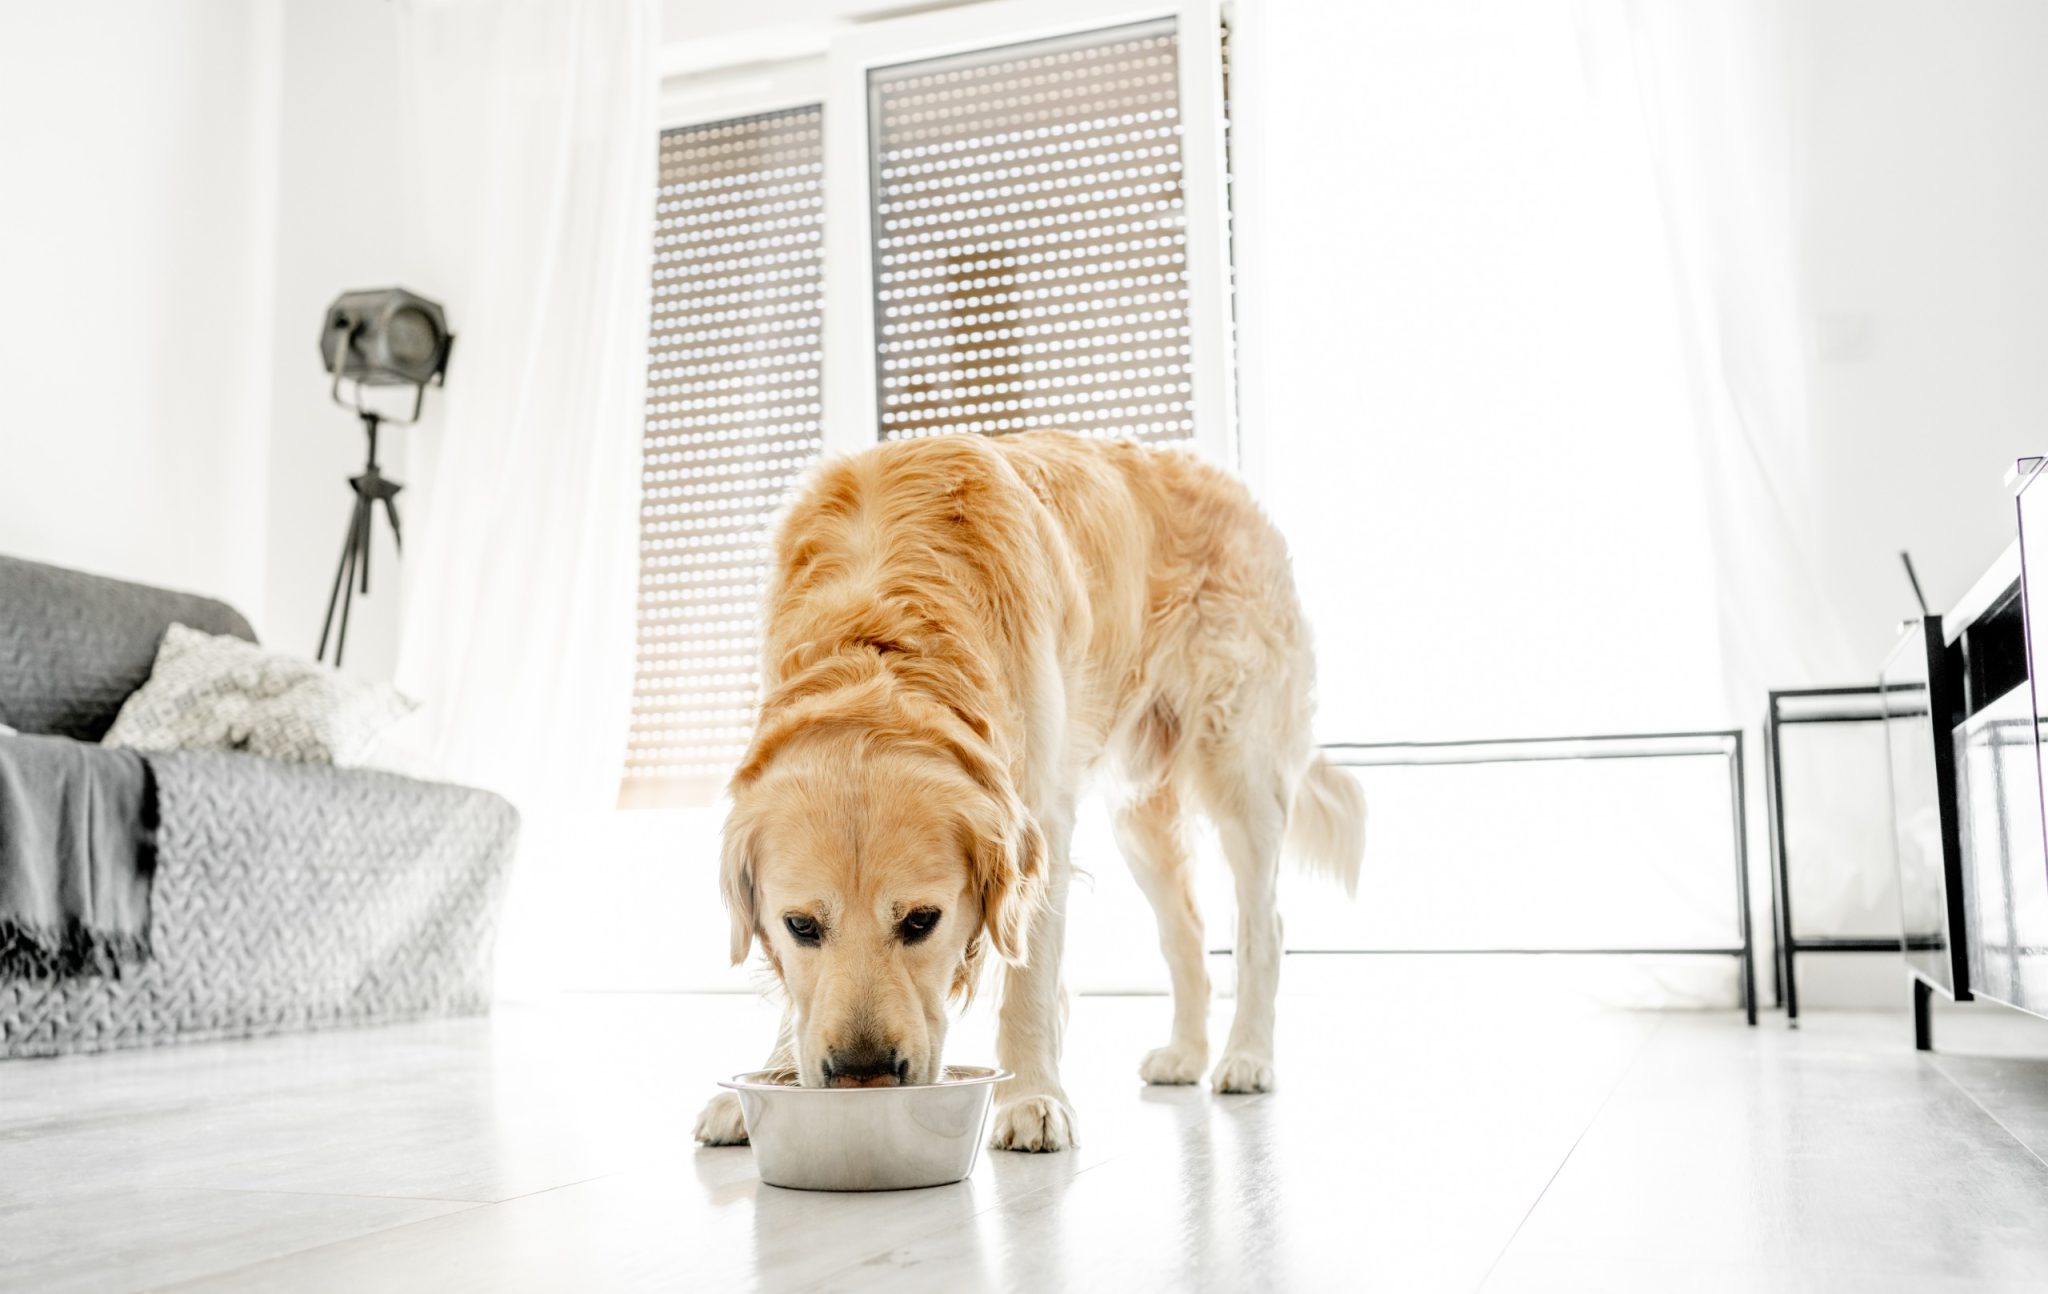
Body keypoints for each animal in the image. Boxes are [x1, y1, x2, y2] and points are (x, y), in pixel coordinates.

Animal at [688, 432, 1359, 1154]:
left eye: (922, 921)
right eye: (801, 926)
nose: (864, 1075)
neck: (880, 637)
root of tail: (1224, 480)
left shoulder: (1042, 820)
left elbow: (1030, 981)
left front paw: (1034, 1097)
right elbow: (798, 992)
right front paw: (767, 1079)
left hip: (1240, 766)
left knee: (1262, 925)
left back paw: (1248, 1056)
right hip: (1139, 816)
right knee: (1187, 931)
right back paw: (1185, 1053)